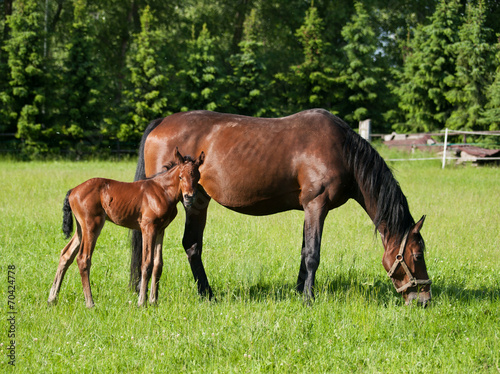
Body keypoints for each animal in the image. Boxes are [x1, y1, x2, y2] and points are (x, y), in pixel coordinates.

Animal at [48, 147, 205, 306]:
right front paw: (142, 302)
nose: (189, 197)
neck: (162, 191)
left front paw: (154, 301)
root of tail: (73, 190)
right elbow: (146, 263)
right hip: (92, 225)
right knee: (83, 258)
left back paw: (52, 298)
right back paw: (90, 303)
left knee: (66, 254)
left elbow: (158, 264)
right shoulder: (148, 227)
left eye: (197, 177)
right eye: (180, 177)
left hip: (81, 229)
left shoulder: (161, 229)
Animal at [131, 109, 432, 306]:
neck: (343, 150)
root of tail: (160, 123)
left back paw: (207, 295)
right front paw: (309, 299)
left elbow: (303, 250)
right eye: (417, 255)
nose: (424, 299)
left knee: (192, 245)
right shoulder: (316, 205)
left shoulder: (309, 209)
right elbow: (312, 254)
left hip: (199, 201)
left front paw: (299, 291)